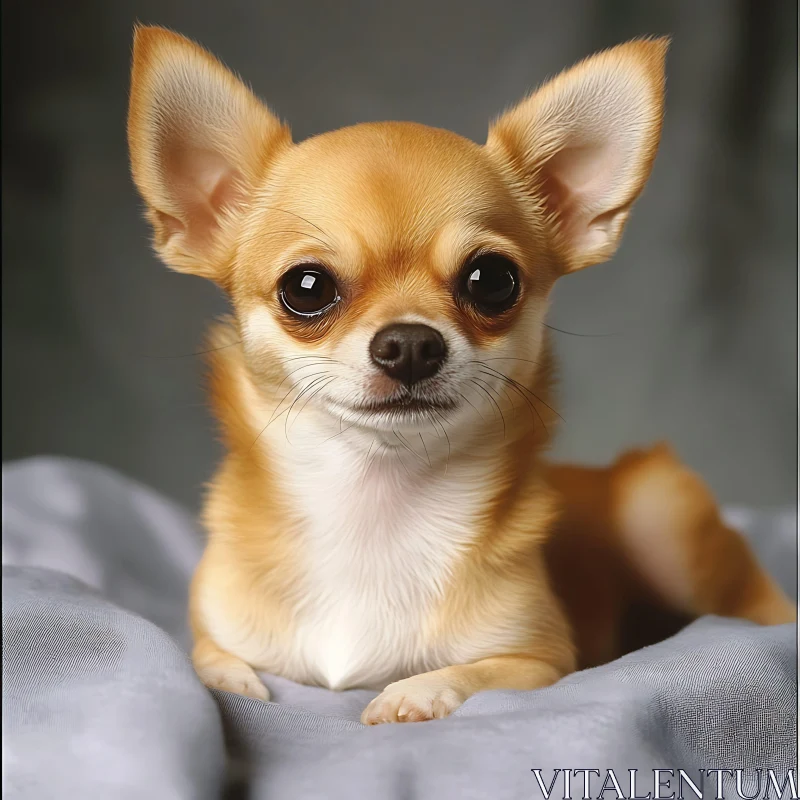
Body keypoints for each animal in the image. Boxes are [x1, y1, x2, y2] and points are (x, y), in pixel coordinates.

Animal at [125, 26, 792, 724]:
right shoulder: (211, 629)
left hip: (661, 514)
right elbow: (211, 660)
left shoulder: (541, 660)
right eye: (305, 288)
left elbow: (471, 672)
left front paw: (413, 692)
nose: (411, 344)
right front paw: (237, 680)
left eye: (493, 280)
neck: (373, 505)